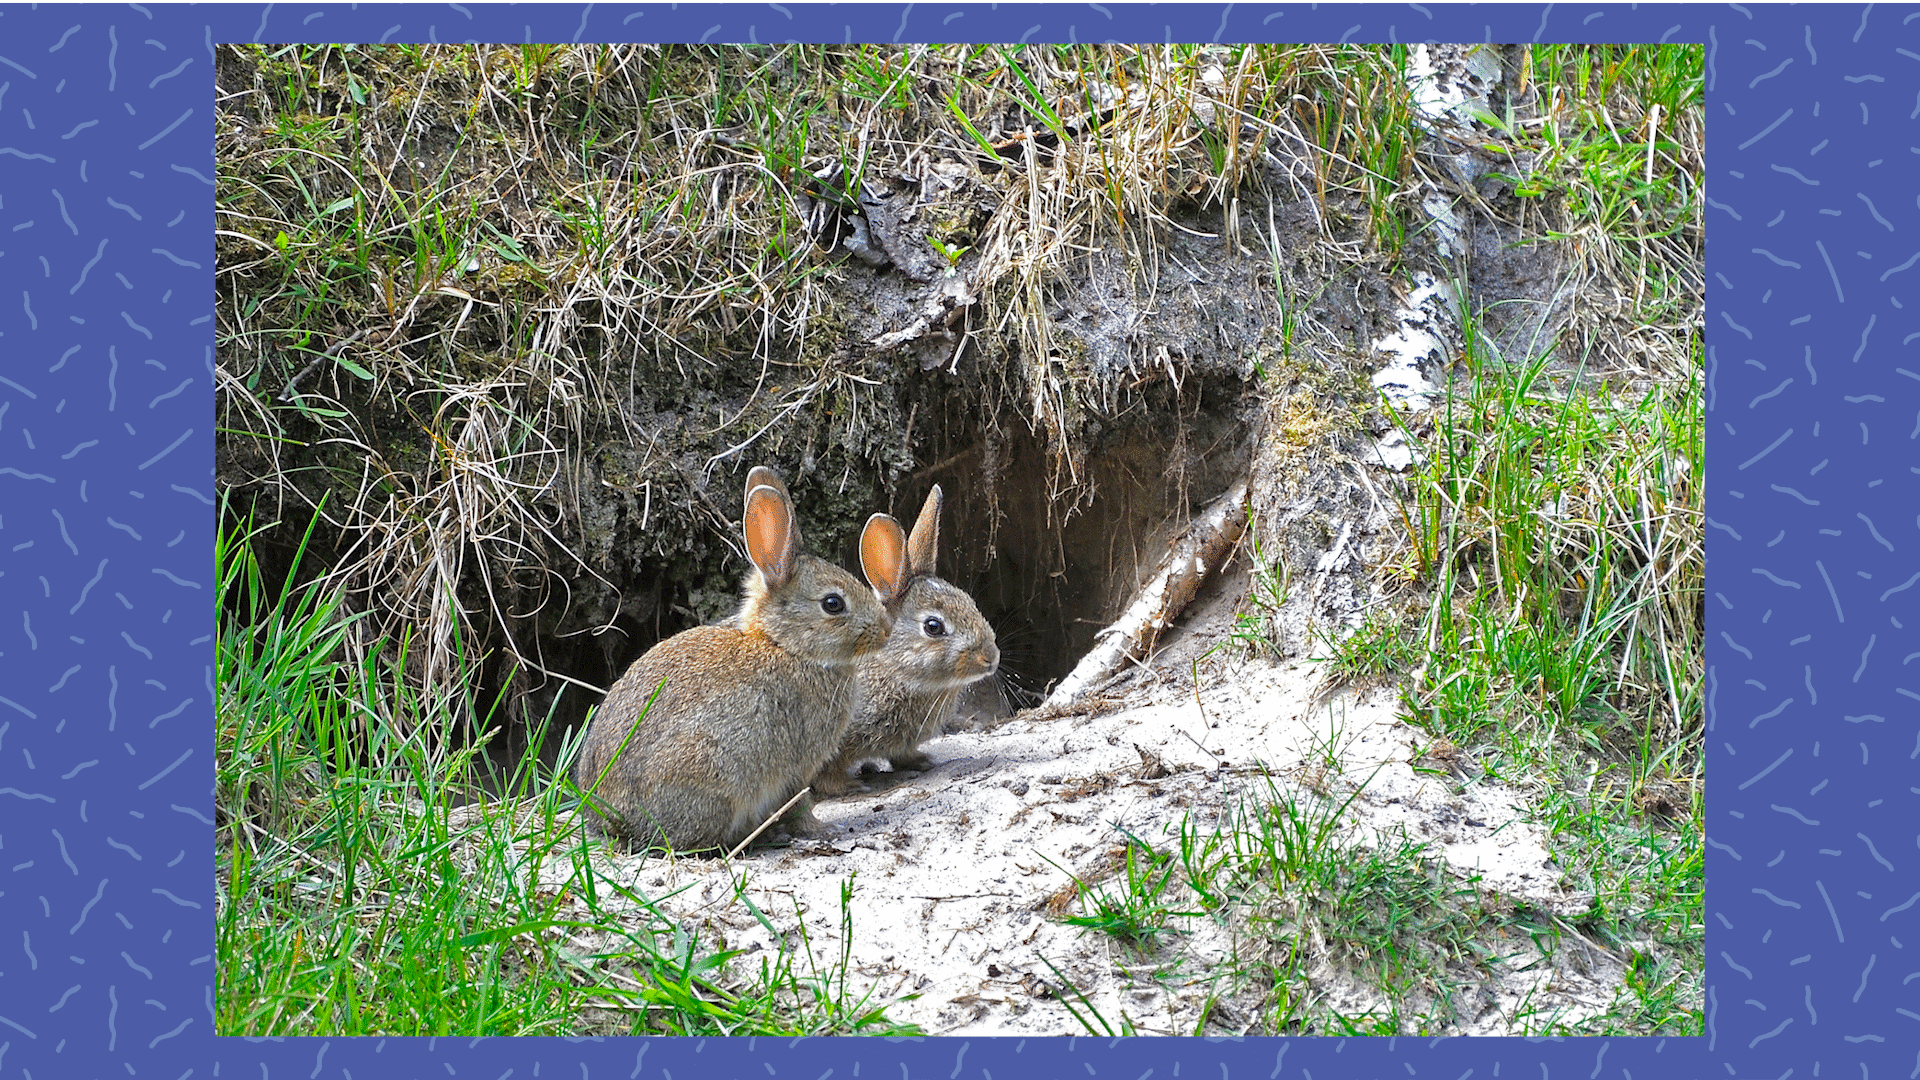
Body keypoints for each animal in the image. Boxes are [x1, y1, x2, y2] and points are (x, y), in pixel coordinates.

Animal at [574, 466, 908, 853]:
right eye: (833, 604)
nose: (885, 629)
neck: (785, 645)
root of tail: (612, 823)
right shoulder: (795, 766)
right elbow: (800, 802)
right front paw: (824, 830)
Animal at [809, 484, 1000, 799]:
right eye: (933, 627)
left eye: (970, 602)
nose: (991, 658)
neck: (892, 670)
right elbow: (827, 772)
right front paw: (850, 786)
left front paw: (921, 762)